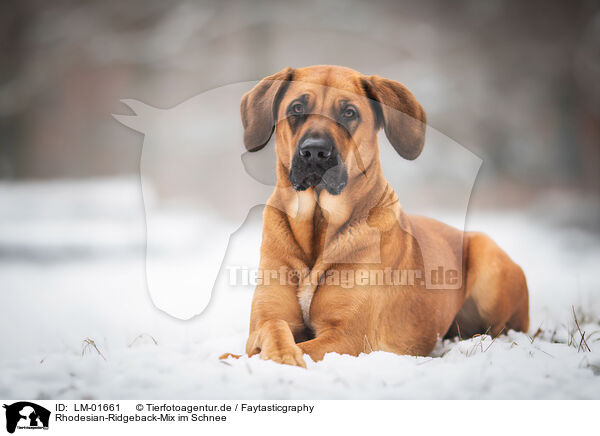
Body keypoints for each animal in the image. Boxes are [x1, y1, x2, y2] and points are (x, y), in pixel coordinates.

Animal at [234, 63, 528, 368]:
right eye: (297, 108)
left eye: (349, 112)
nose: (314, 151)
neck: (319, 222)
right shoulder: (268, 317)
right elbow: (272, 326)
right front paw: (278, 353)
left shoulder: (346, 337)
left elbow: (303, 346)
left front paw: (283, 357)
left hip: (488, 261)